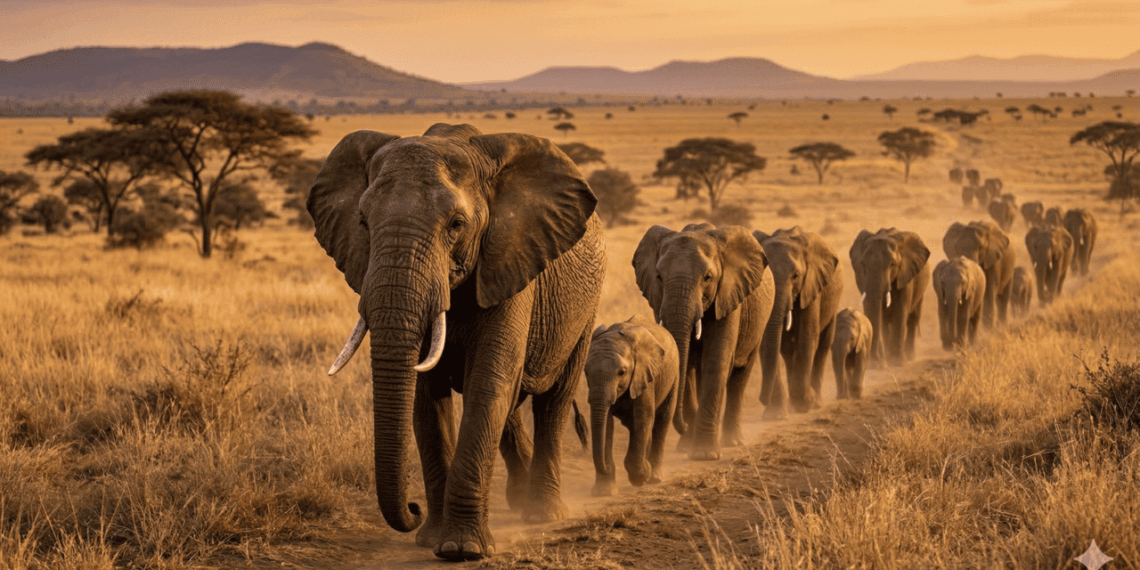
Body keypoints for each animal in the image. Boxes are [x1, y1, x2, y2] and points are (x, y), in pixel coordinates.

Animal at [307, 123, 605, 560]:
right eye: (362, 221)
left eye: (456, 225)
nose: (411, 508)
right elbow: (426, 398)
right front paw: (430, 538)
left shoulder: (509, 258)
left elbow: (488, 383)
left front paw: (462, 549)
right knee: (511, 405)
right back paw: (518, 502)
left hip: (586, 309)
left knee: (555, 398)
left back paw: (542, 513)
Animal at [580, 316, 679, 497]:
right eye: (586, 372)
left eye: (622, 372)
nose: (606, 467)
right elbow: (607, 424)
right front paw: (604, 491)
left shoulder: (645, 375)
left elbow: (644, 417)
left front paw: (641, 478)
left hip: (673, 375)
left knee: (662, 420)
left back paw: (654, 477)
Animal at [633, 223, 774, 460]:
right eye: (659, 276)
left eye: (708, 278)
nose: (683, 427)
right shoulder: (658, 300)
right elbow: (685, 365)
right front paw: (687, 447)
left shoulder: (728, 297)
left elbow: (716, 362)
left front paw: (704, 454)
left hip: (759, 322)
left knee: (740, 376)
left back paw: (732, 441)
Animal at [755, 227, 844, 417]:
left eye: (795, 276)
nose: (762, 399)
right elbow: (766, 343)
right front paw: (775, 415)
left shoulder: (811, 285)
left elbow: (807, 336)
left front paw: (806, 403)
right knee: (788, 350)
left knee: (823, 344)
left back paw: (816, 402)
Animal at [849, 228, 931, 366]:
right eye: (863, 264)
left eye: (892, 264)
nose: (875, 362)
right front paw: (880, 363)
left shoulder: (905, 274)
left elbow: (901, 311)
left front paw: (897, 362)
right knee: (886, 321)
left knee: (913, 318)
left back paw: (909, 357)